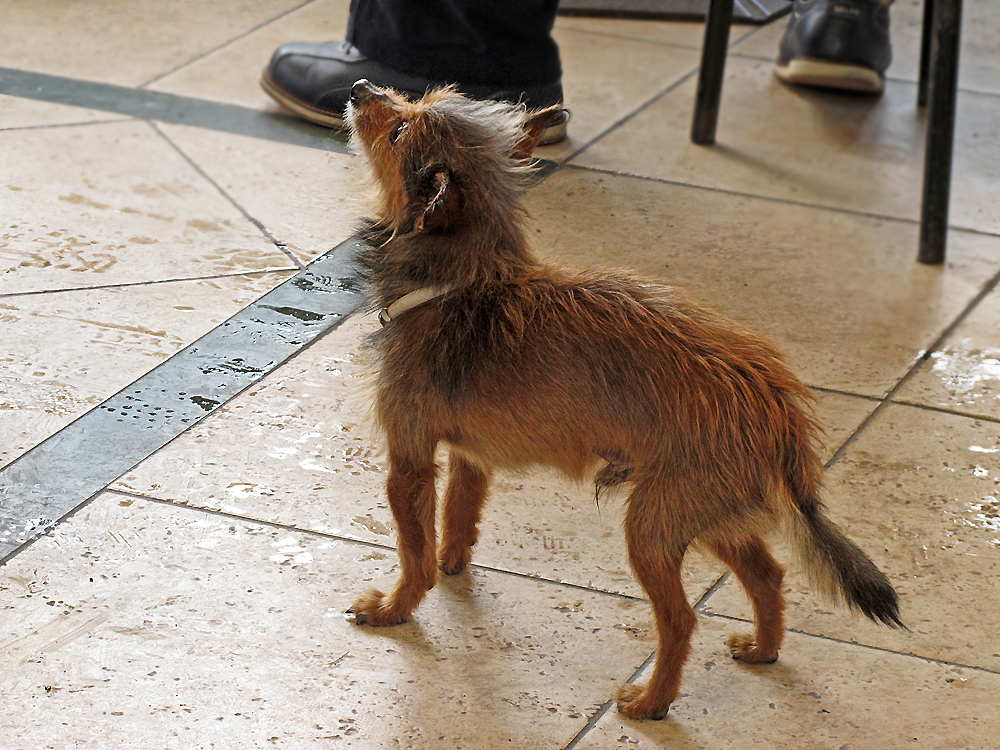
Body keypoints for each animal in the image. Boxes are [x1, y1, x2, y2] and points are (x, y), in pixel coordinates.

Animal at [344, 78, 908, 724]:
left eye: (397, 131)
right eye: (412, 98)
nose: (360, 87)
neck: (461, 281)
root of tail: (775, 404)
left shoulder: (408, 462)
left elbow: (412, 550)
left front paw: (395, 608)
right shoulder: (470, 454)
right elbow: (460, 514)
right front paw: (452, 562)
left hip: (653, 526)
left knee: (681, 619)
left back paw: (651, 702)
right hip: (706, 512)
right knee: (768, 574)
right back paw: (762, 649)